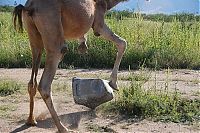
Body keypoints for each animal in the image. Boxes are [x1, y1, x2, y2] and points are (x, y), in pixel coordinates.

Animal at [13, 0, 127, 132]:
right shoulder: (98, 22)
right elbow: (123, 43)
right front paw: (113, 83)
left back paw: (31, 120)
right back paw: (63, 128)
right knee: (45, 84)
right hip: (53, 33)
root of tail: (29, 7)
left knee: (32, 82)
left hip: (34, 37)